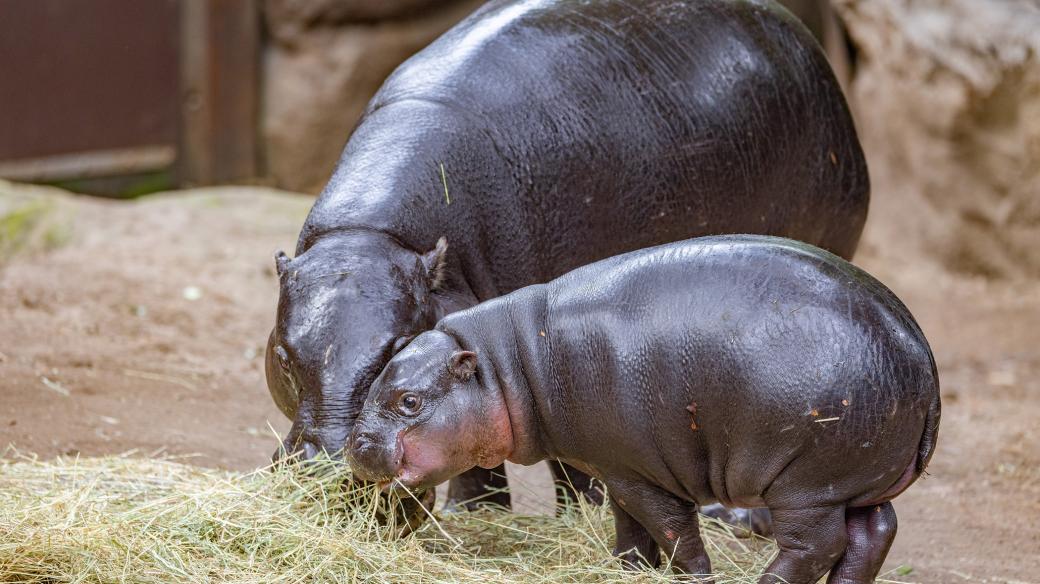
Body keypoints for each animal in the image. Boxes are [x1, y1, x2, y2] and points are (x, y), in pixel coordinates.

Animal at [268, 0, 869, 509]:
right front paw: (476, 514)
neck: (372, 236)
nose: (328, 464)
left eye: (397, 346)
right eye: (281, 353)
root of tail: (797, 33)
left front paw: (583, 512)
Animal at [351, 232, 944, 581]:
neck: (508, 364)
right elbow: (629, 524)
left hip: (807, 482)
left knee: (816, 545)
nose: (356, 444)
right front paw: (628, 568)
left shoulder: (641, 471)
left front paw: (694, 576)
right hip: (854, 477)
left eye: (409, 400)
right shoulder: (615, 468)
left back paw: (767, 581)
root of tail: (919, 348)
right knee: (873, 534)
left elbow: (672, 529)